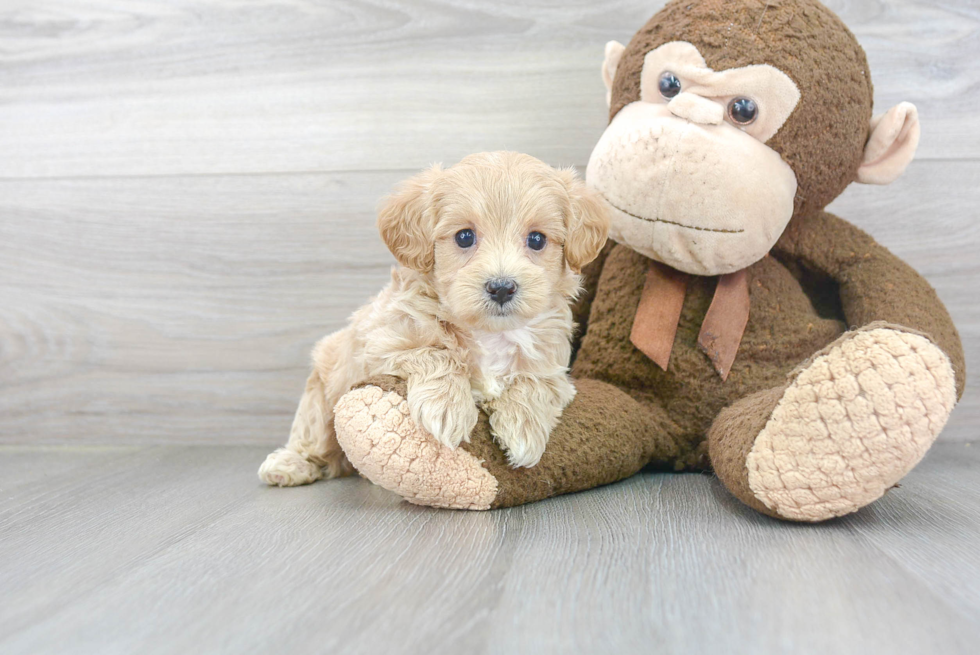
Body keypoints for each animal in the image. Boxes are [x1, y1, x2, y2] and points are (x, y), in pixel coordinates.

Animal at [260, 150, 612, 486]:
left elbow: (535, 381)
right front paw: (447, 408)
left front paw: (523, 428)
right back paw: (289, 465)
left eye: (537, 239)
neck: (489, 334)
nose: (501, 287)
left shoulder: (554, 367)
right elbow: (435, 352)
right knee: (314, 440)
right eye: (465, 237)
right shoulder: (381, 341)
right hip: (321, 397)